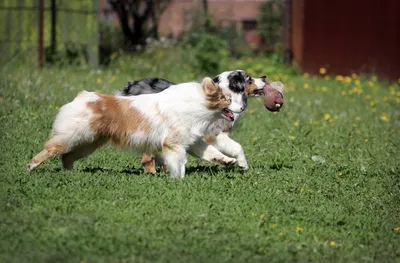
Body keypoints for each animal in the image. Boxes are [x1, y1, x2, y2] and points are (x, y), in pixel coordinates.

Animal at [28, 78, 241, 179]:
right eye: (227, 99)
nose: (240, 108)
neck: (195, 105)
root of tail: (82, 96)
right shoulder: (173, 144)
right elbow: (177, 163)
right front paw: (178, 179)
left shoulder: (193, 141)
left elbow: (212, 153)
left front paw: (230, 161)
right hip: (74, 137)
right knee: (51, 150)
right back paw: (31, 167)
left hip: (88, 143)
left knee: (67, 157)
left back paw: (70, 174)